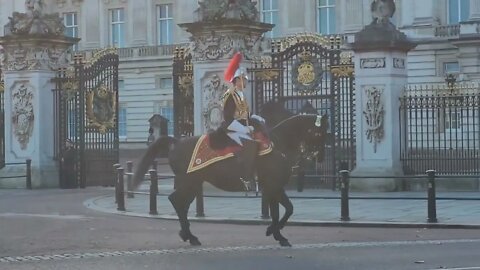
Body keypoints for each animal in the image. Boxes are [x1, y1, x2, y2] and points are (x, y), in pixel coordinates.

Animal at [131, 108, 328, 247]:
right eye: (320, 132)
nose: (320, 159)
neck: (279, 145)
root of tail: (177, 142)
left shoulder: (274, 188)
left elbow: (284, 210)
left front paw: (275, 233)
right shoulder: (273, 186)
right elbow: (283, 211)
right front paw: (276, 233)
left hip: (193, 183)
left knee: (181, 204)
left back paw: (188, 235)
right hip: (189, 182)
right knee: (177, 201)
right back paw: (189, 236)